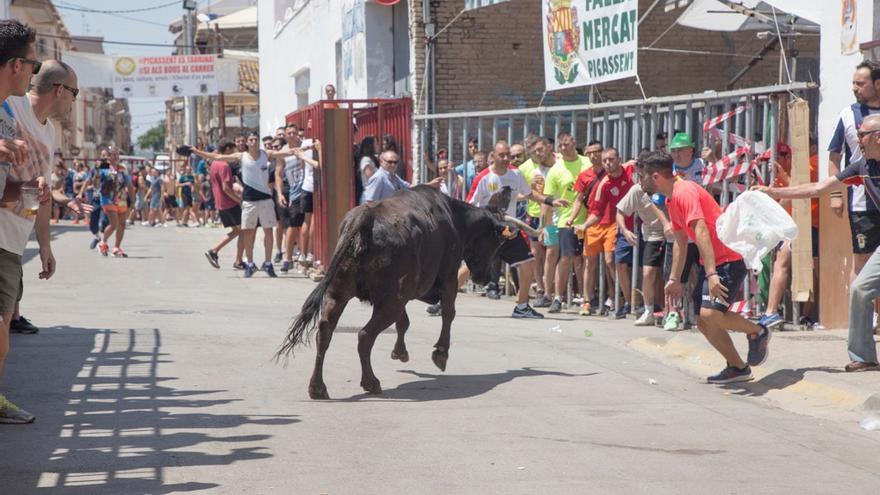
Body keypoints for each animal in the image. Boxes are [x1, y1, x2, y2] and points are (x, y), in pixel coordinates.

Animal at [276, 185, 536, 400]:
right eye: (497, 243)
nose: (482, 278)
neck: (455, 219)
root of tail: (365, 218)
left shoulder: (403, 293)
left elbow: (404, 323)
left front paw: (400, 352)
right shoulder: (447, 279)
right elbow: (448, 313)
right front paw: (440, 354)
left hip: (340, 293)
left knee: (325, 332)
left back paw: (317, 387)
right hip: (389, 301)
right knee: (364, 335)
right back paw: (370, 382)